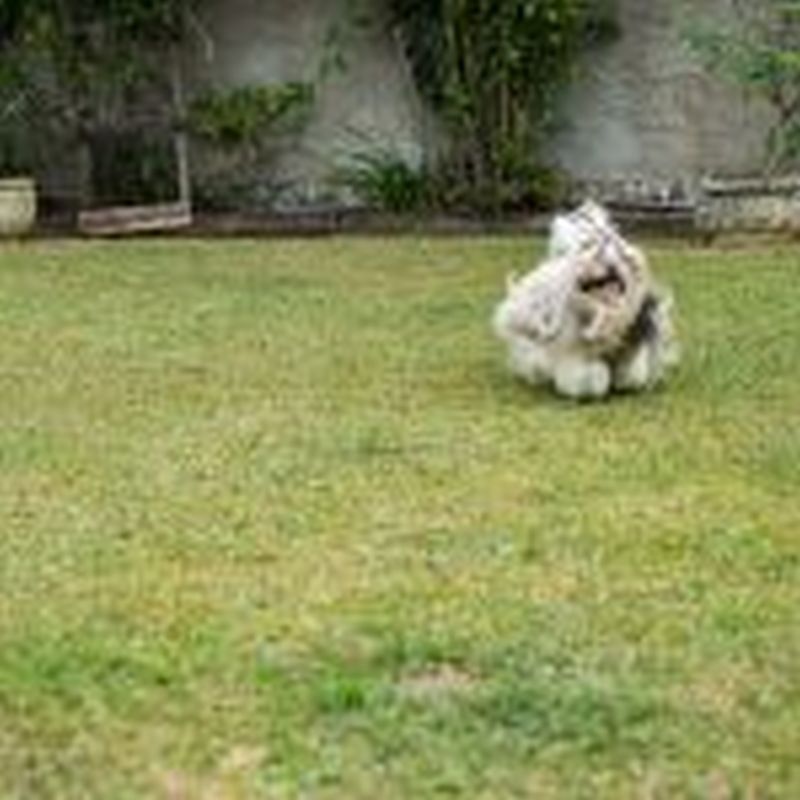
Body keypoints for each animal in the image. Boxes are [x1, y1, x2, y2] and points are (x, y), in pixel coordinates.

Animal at [493, 200, 678, 399]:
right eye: (589, 248)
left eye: (619, 257)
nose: (608, 262)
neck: (600, 311)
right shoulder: (572, 348)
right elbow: (588, 377)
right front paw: (591, 385)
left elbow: (630, 370)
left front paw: (625, 382)